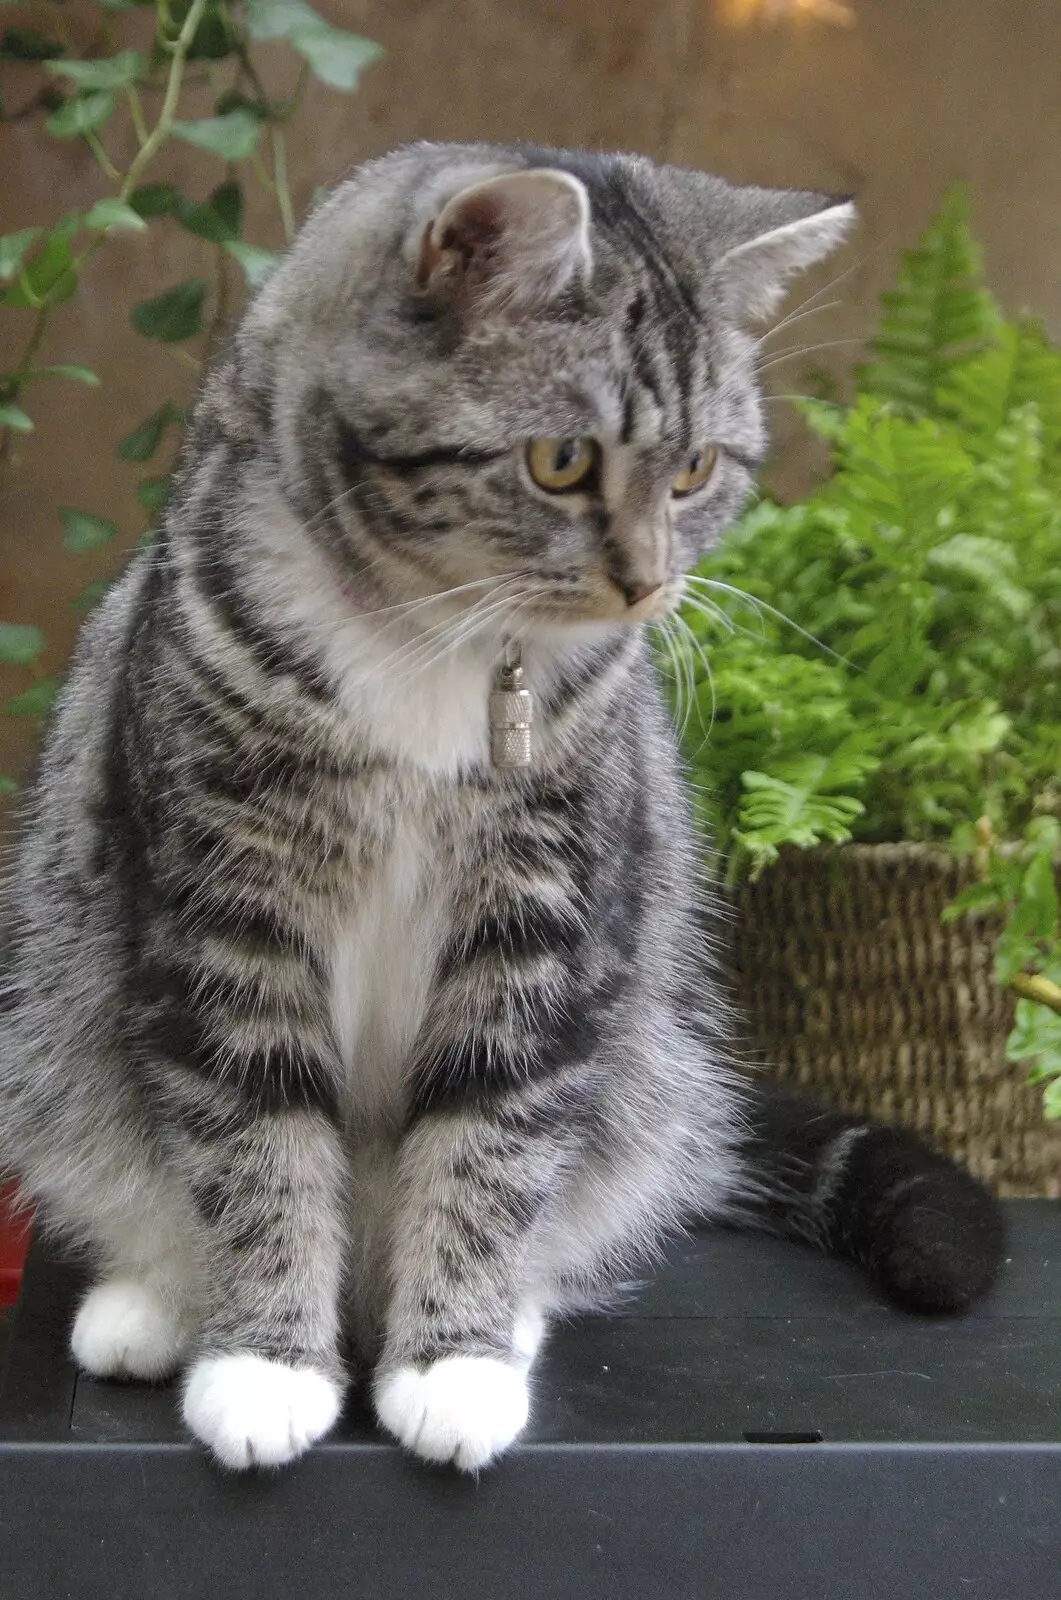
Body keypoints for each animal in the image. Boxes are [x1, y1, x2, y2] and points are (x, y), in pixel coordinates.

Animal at [0, 144, 1004, 1465]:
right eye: (560, 460)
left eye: (694, 469)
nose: (646, 585)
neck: (434, 640)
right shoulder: (223, 893)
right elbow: (255, 1133)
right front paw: (265, 1365)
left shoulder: (545, 904)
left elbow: (494, 1129)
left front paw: (453, 1363)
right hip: (55, 1040)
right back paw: (156, 1307)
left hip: (644, 1076)